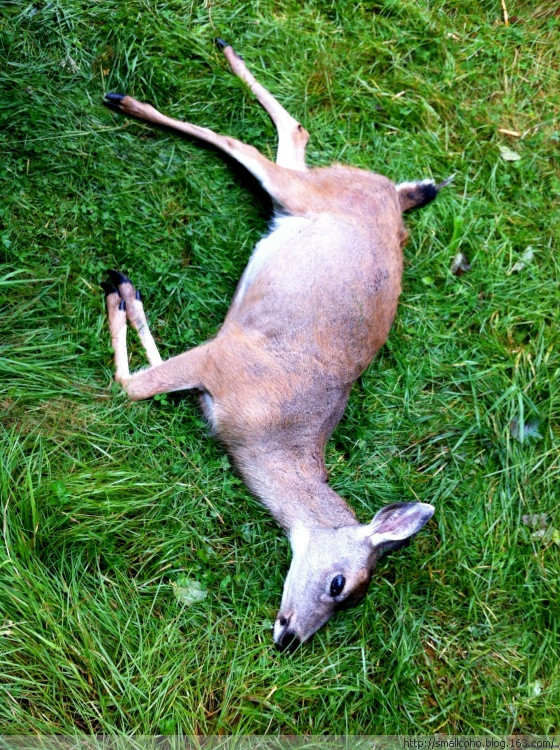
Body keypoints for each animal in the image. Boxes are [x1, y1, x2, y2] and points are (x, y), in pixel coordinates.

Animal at [102, 40, 447, 652]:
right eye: (339, 585)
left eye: (348, 602)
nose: (290, 638)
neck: (269, 436)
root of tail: (389, 196)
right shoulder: (225, 356)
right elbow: (131, 386)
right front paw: (121, 294)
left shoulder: (217, 362)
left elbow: (146, 377)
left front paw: (127, 292)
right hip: (303, 192)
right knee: (254, 146)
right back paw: (131, 98)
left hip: (296, 197)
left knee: (295, 136)